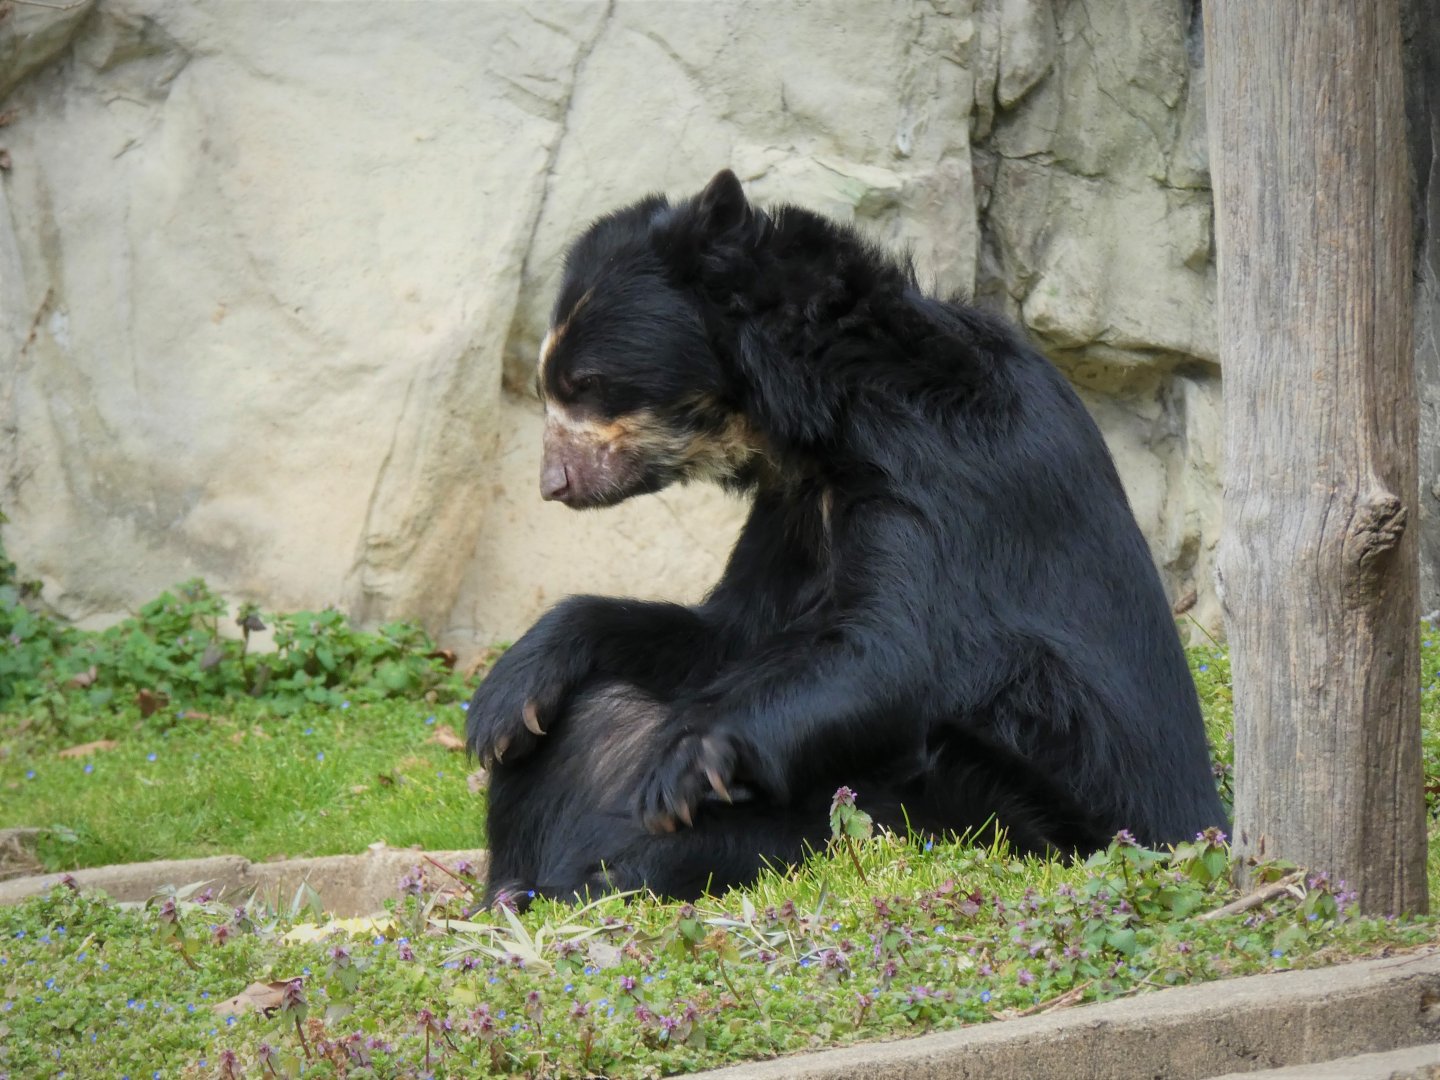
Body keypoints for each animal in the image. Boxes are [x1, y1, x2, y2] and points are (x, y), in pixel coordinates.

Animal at [465, 169, 1225, 904]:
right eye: (554, 384)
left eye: (587, 383)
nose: (553, 483)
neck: (820, 419)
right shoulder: (793, 510)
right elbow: (733, 631)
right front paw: (506, 695)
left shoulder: (935, 471)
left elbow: (891, 650)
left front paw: (681, 766)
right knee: (593, 709)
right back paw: (518, 882)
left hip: (1006, 799)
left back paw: (608, 876)